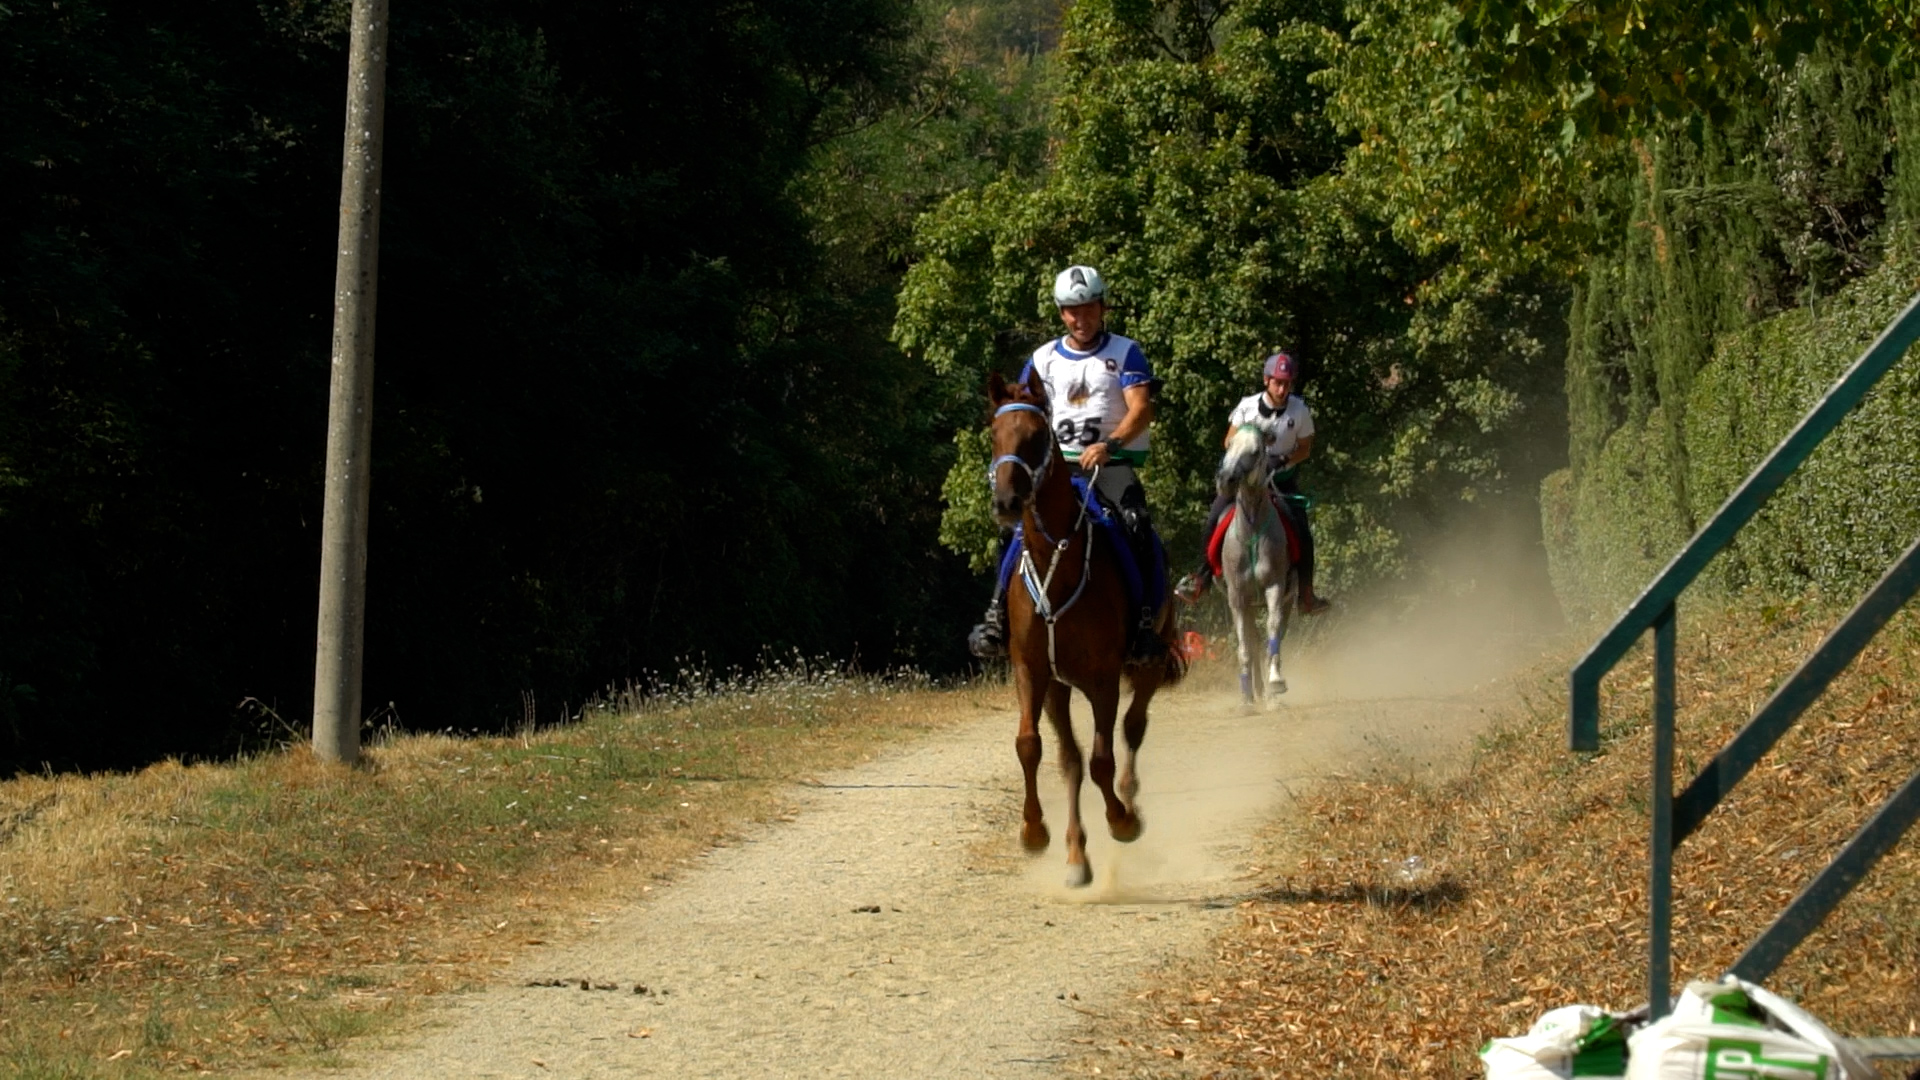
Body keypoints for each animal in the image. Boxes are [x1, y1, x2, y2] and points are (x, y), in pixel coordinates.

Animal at [990, 367, 1182, 883]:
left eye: (1038, 436)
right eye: (994, 434)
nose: (1007, 501)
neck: (1058, 563)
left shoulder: (1103, 679)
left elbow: (1101, 758)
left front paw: (1122, 822)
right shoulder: (1033, 672)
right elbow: (1033, 747)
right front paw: (1035, 832)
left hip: (1149, 661)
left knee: (1134, 727)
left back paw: (1129, 797)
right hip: (1060, 688)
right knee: (1070, 760)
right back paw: (1077, 855)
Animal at [1221, 420, 1297, 699]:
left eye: (1255, 452)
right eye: (1230, 445)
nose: (1225, 479)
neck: (1251, 531)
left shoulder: (1275, 588)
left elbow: (1273, 633)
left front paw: (1276, 681)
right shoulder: (1236, 597)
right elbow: (1244, 647)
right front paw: (1246, 696)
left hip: (1287, 598)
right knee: (1252, 643)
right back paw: (1255, 690)